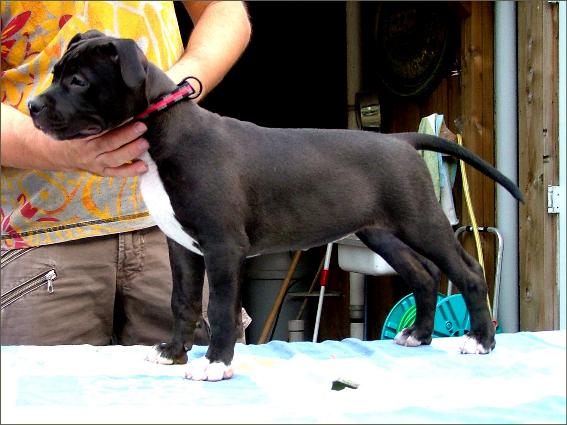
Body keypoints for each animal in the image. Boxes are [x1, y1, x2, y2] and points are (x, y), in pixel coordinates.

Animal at [29, 30, 523, 381]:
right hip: (380, 232)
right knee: (422, 273)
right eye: (55, 73)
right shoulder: (183, 249)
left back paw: (481, 341)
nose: (32, 106)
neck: (165, 130)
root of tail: (402, 141)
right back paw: (419, 335)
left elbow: (220, 309)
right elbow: (182, 301)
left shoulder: (223, 247)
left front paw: (215, 363)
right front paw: (172, 352)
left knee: (466, 271)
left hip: (420, 219)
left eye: (78, 81)